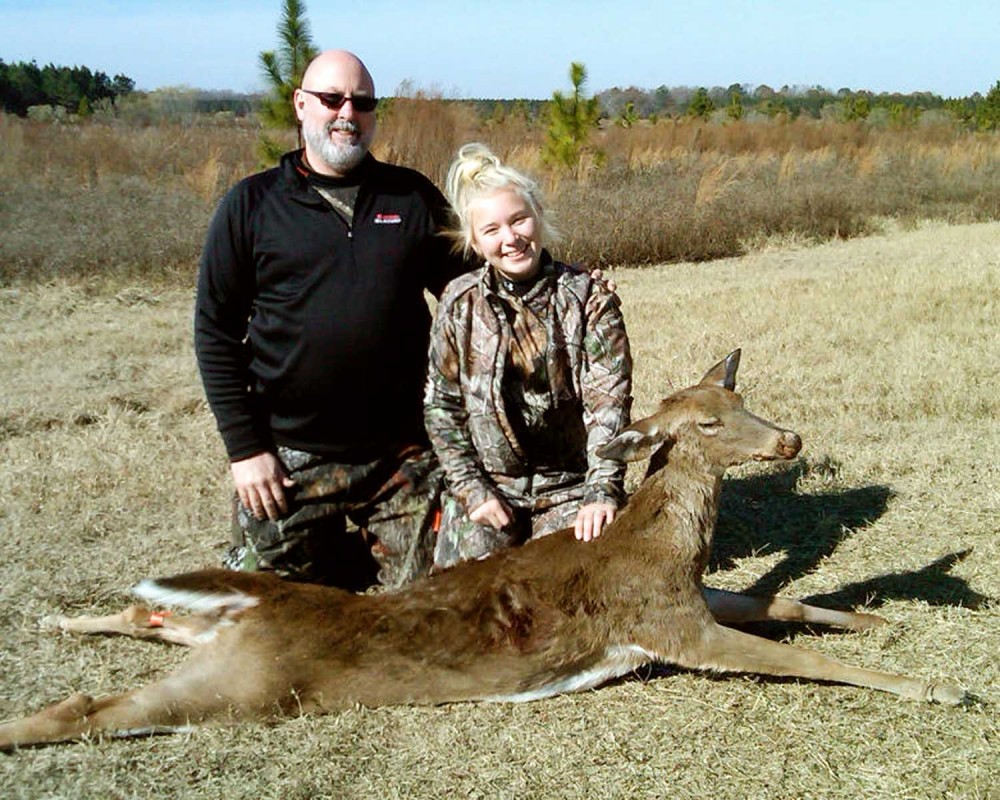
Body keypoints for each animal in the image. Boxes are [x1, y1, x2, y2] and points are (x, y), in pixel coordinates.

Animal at [1, 350, 968, 752]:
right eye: (704, 423)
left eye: (744, 400)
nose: (791, 439)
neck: (666, 548)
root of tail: (263, 608)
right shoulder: (668, 625)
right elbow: (802, 659)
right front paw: (938, 685)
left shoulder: (690, 599)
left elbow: (792, 602)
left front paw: (876, 617)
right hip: (249, 686)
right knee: (88, 709)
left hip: (220, 640)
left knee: (147, 615)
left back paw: (58, 621)